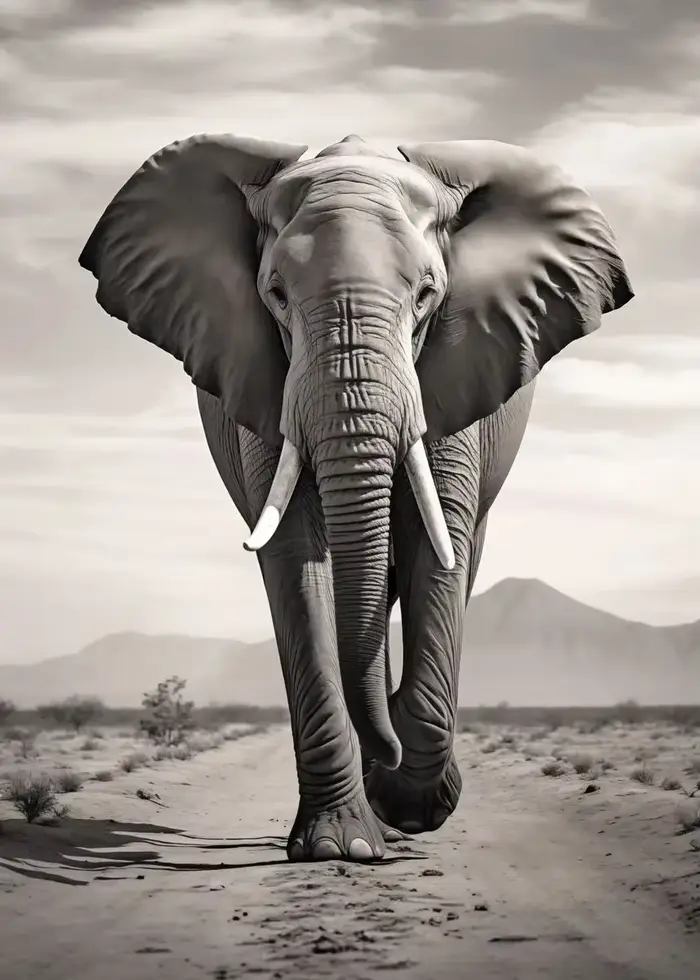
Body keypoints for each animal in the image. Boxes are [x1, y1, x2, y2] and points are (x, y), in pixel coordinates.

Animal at [78, 132, 633, 863]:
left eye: (427, 295)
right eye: (275, 295)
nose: (387, 762)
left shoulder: (454, 376)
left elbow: (436, 544)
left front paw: (409, 801)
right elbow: (294, 556)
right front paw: (341, 847)